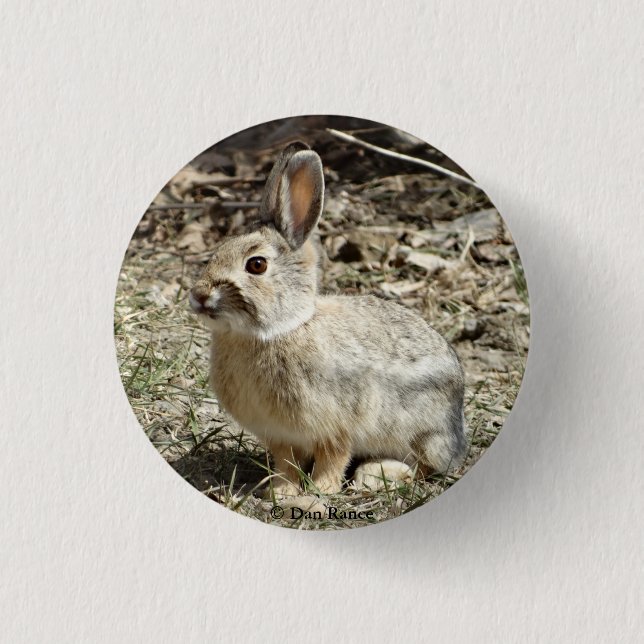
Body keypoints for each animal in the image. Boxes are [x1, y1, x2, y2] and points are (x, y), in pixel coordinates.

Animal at [189, 141, 467, 497]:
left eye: (256, 265)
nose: (198, 295)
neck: (278, 330)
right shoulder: (281, 435)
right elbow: (287, 463)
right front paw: (280, 491)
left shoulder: (338, 426)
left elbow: (334, 457)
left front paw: (321, 491)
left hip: (424, 432)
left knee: (426, 467)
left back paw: (380, 474)